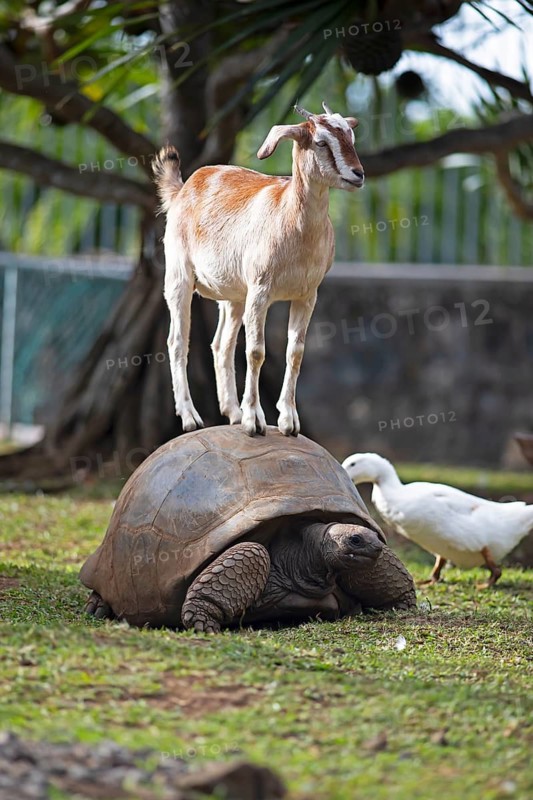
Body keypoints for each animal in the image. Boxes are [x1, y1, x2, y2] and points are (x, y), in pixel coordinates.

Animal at [152, 102, 364, 437]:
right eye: (321, 142)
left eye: (351, 137)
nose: (358, 174)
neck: (292, 222)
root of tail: (182, 189)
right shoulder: (260, 292)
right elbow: (255, 351)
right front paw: (255, 420)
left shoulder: (307, 296)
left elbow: (295, 352)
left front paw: (288, 421)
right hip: (178, 278)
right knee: (177, 341)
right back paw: (191, 418)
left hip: (233, 297)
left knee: (221, 345)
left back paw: (232, 412)